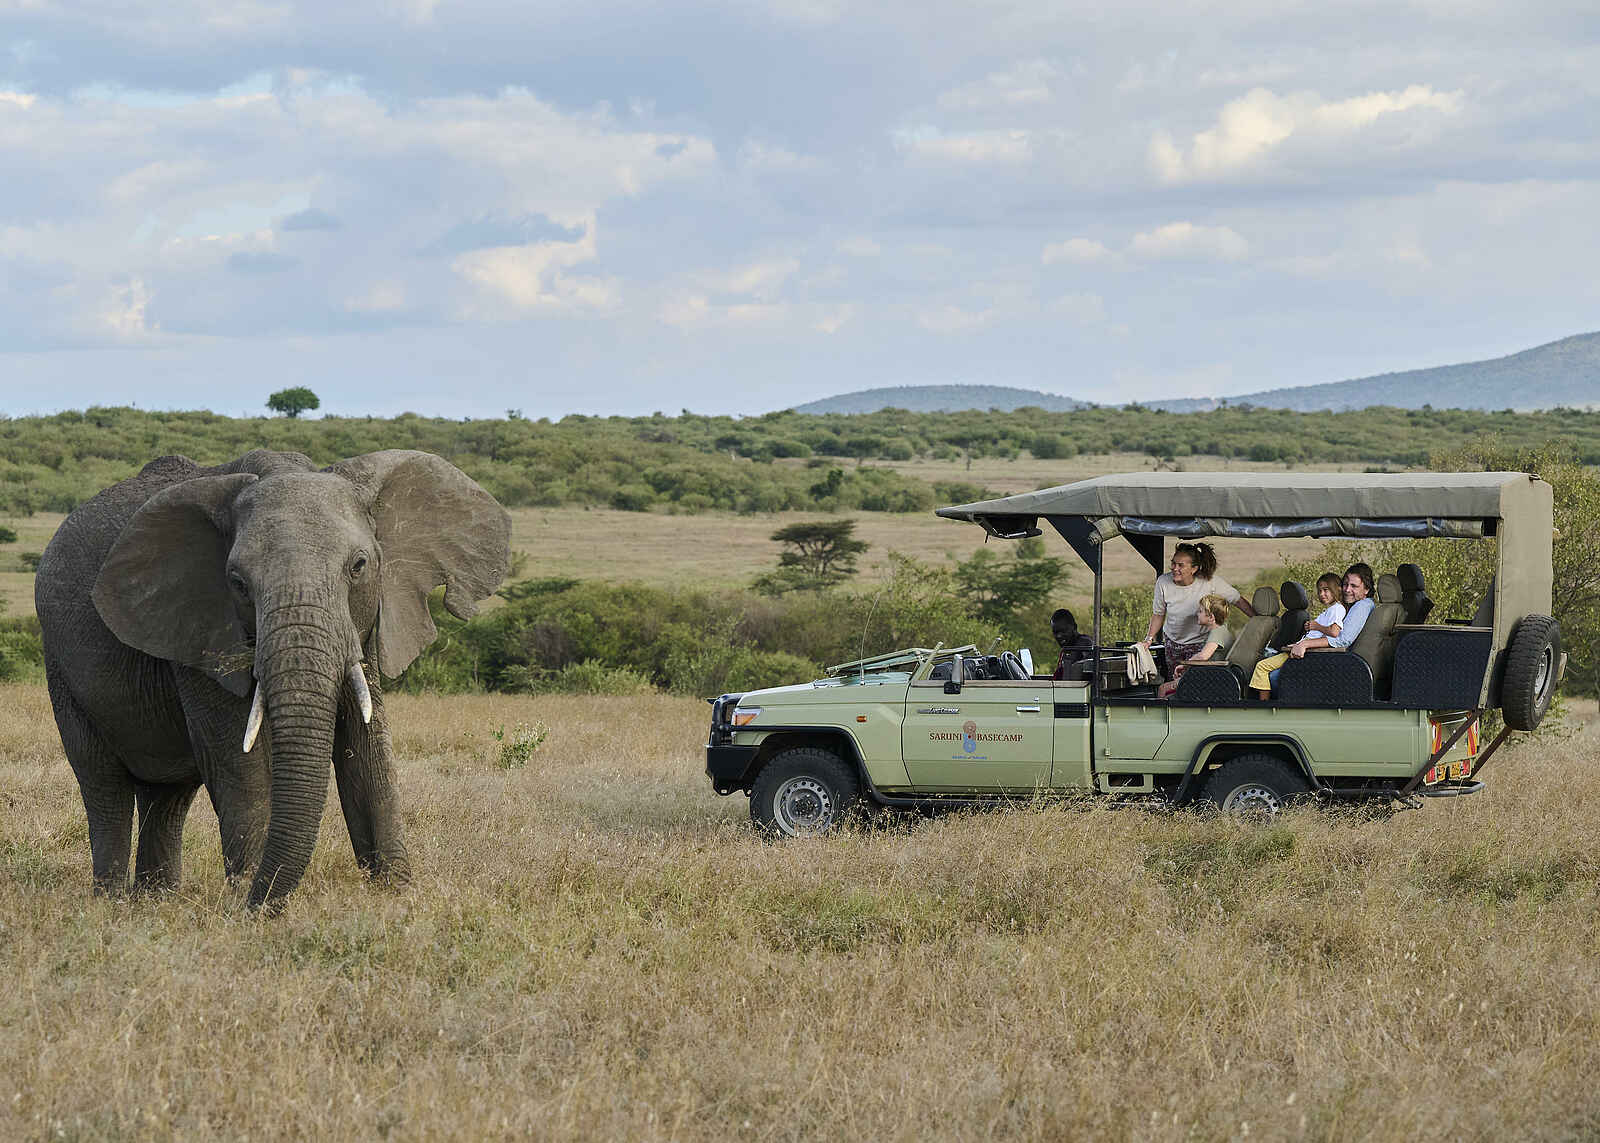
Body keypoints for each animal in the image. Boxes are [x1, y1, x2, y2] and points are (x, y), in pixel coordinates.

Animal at [34, 448, 511, 910]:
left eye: (359, 566)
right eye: (238, 583)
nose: (253, 903)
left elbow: (369, 753)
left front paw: (395, 895)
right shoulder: (200, 630)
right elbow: (240, 764)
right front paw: (253, 908)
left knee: (167, 796)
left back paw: (155, 903)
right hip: (60, 664)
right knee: (104, 784)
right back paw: (111, 905)